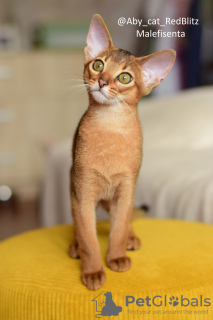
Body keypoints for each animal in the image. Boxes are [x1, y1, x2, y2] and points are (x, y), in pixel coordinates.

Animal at [68, 13, 176, 290]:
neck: (110, 126)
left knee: (125, 220)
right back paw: (75, 246)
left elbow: (118, 228)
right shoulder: (82, 193)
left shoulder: (126, 189)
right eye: (98, 65)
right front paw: (93, 271)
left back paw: (130, 238)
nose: (102, 81)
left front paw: (116, 256)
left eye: (125, 77)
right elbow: (89, 237)